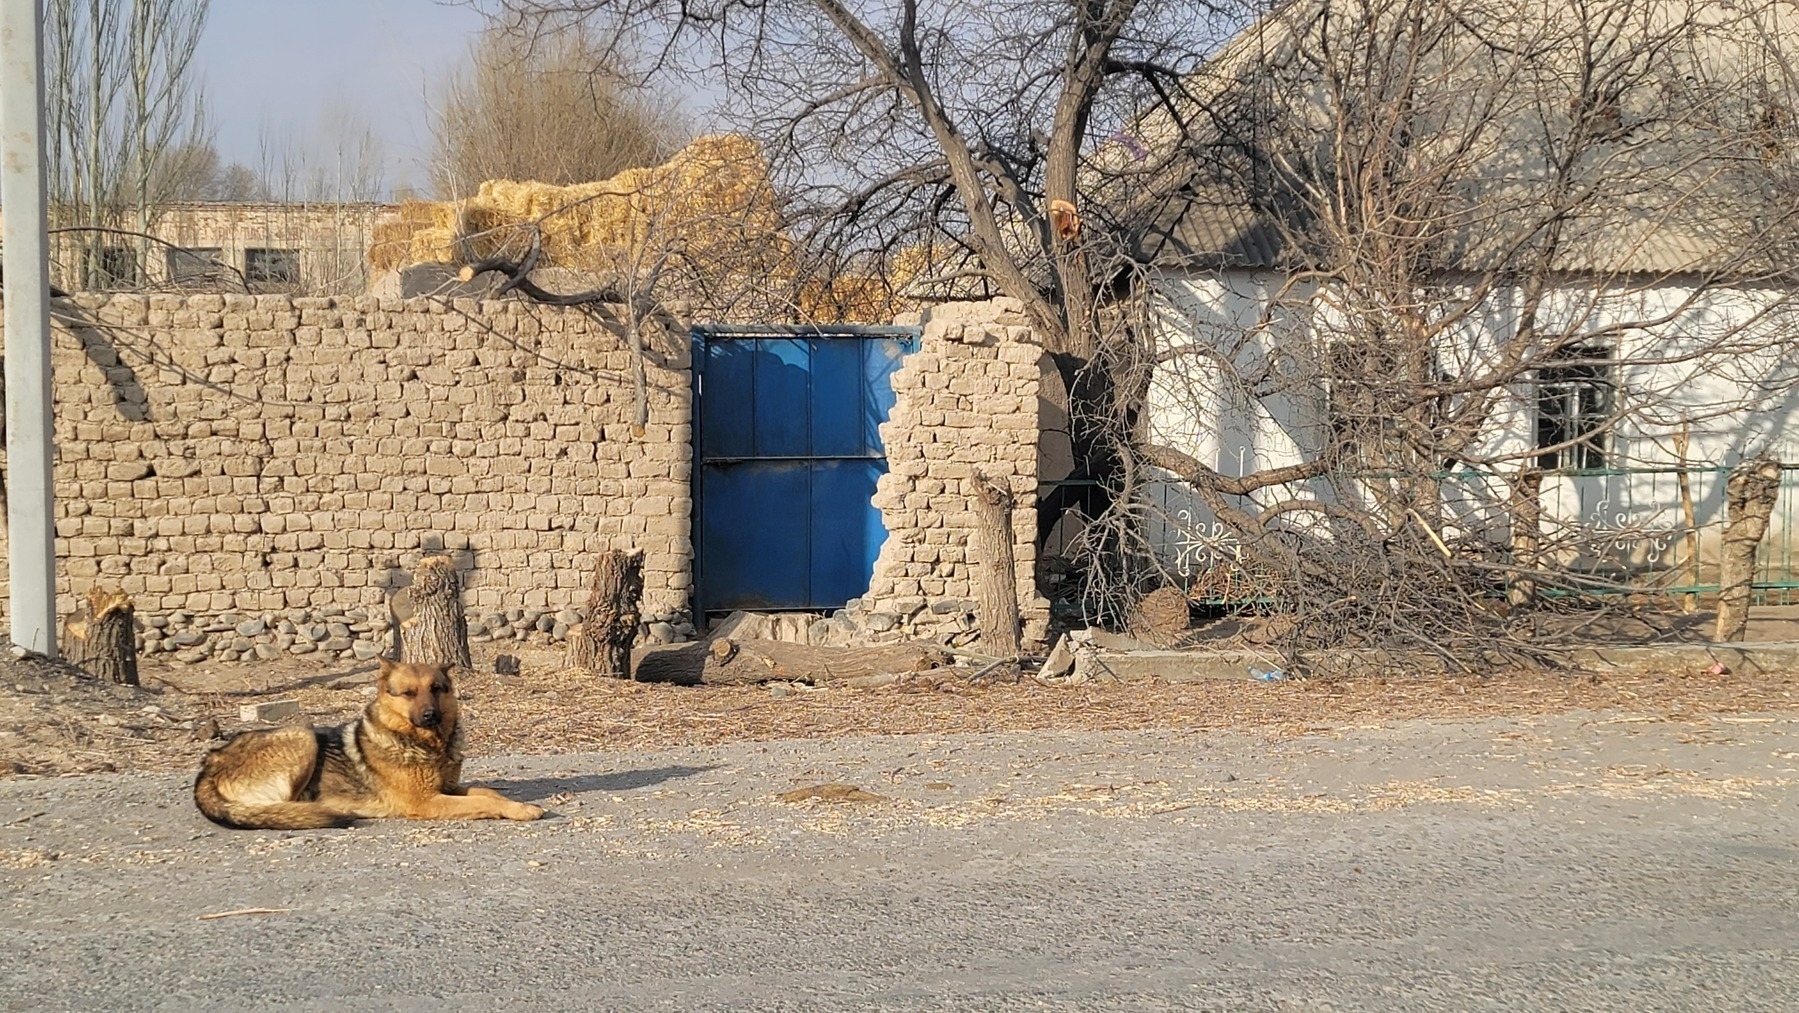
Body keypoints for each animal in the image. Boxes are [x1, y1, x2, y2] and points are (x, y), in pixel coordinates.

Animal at [193, 658, 539, 831]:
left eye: (437, 689)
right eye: (408, 693)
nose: (430, 715)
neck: (428, 744)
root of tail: (210, 763)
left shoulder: (448, 788)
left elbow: (488, 793)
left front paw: (514, 803)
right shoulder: (427, 801)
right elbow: (485, 801)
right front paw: (520, 809)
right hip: (303, 736)